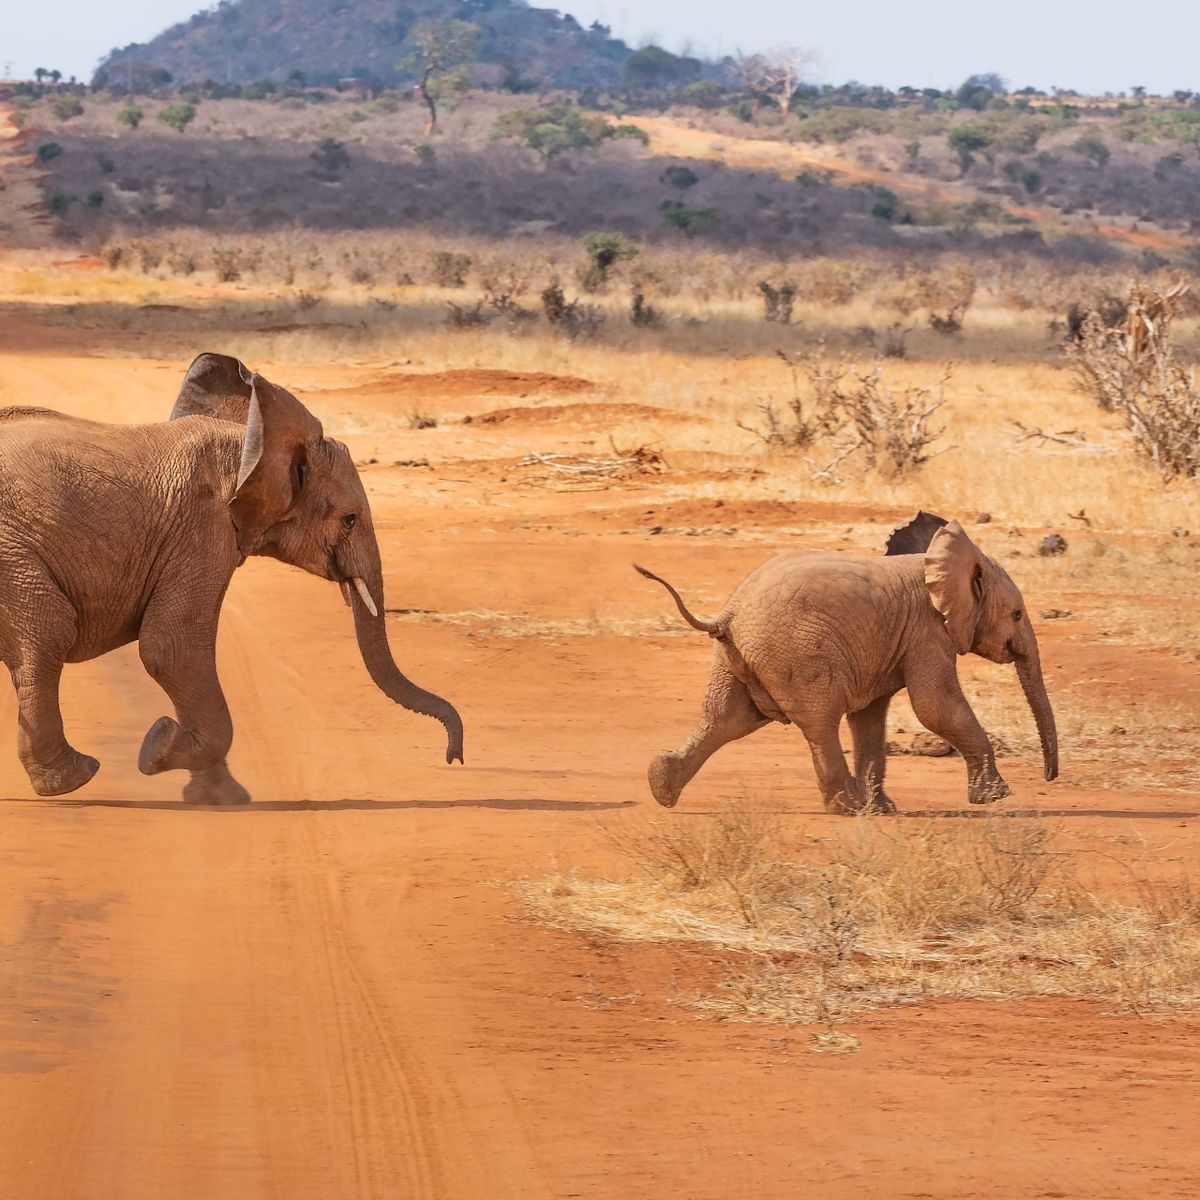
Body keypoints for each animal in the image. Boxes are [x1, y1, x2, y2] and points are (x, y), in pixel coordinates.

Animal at [0, 355, 463, 806]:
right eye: (350, 520)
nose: (454, 758)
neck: (249, 442)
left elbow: (175, 651)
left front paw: (218, 797)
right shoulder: (202, 527)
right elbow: (172, 646)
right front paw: (157, 748)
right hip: (12, 554)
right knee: (51, 629)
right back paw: (73, 778)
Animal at [633, 508, 1056, 816]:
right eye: (1017, 614)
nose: (1049, 779)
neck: (938, 561)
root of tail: (729, 614)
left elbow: (870, 718)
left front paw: (883, 810)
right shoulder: (928, 631)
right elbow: (935, 707)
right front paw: (998, 797)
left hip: (736, 657)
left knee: (725, 720)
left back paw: (661, 787)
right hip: (798, 653)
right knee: (819, 724)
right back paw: (846, 808)